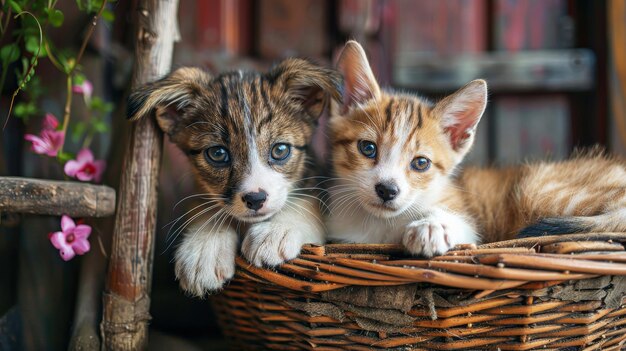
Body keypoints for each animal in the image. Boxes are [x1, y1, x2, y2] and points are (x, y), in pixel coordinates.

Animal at [127, 59, 338, 296]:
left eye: (280, 150)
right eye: (218, 154)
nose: (255, 199)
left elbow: (307, 202)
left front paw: (278, 230)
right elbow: (206, 207)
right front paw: (204, 249)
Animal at [326, 41, 624, 258]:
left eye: (421, 163)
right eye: (367, 148)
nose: (387, 190)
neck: (380, 225)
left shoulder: (468, 223)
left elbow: (460, 225)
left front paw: (431, 226)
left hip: (537, 190)